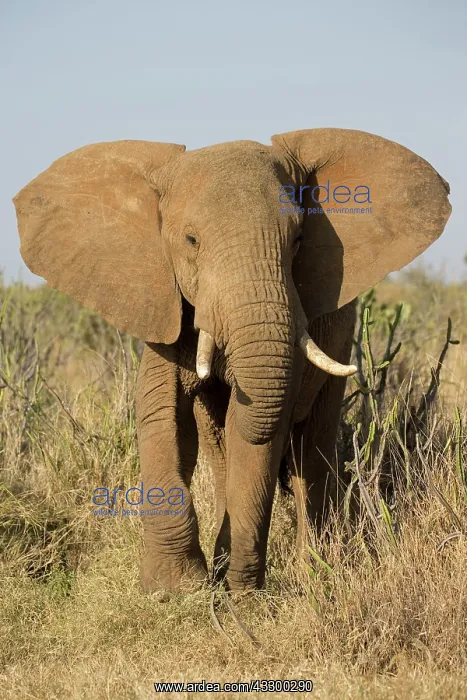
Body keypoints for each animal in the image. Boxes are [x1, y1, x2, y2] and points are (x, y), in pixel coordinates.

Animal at [13, 128, 451, 593]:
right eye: (191, 241)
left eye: (298, 241)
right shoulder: (165, 303)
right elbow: (162, 414)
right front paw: (175, 588)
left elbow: (258, 430)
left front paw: (238, 592)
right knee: (220, 445)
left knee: (311, 451)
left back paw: (315, 572)